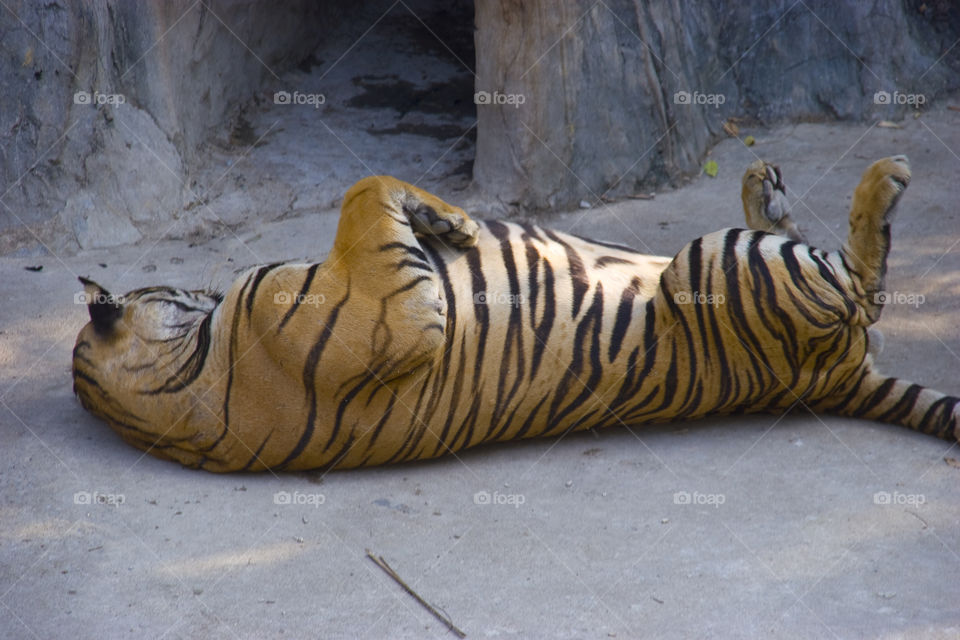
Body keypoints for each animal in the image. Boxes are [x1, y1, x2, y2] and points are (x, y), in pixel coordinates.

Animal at [73, 156, 960, 472]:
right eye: (173, 294)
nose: (204, 288)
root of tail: (840, 376)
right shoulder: (397, 312)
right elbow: (362, 190)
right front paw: (454, 223)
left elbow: (371, 192)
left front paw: (445, 223)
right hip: (716, 265)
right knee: (863, 277)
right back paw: (883, 176)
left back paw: (764, 181)